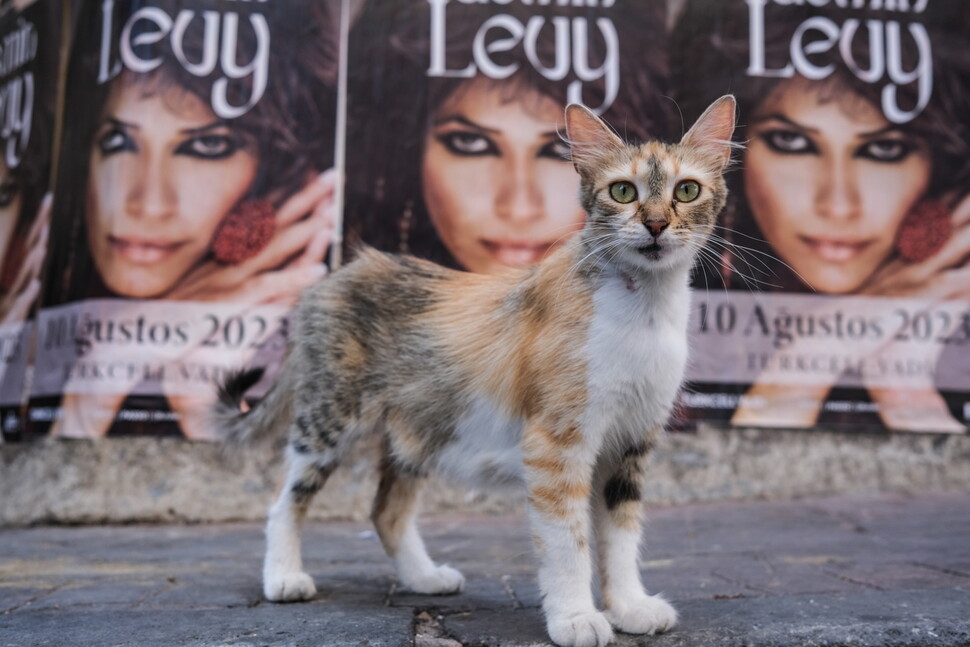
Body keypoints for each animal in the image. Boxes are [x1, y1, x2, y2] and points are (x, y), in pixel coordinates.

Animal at [214, 95, 732, 647]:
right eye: (622, 191)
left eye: (686, 190)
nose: (655, 224)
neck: (644, 312)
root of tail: (339, 273)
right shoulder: (557, 445)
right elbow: (567, 539)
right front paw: (574, 617)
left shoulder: (630, 444)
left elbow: (621, 536)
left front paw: (629, 606)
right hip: (330, 418)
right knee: (285, 501)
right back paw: (283, 577)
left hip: (421, 427)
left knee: (386, 511)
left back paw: (423, 578)